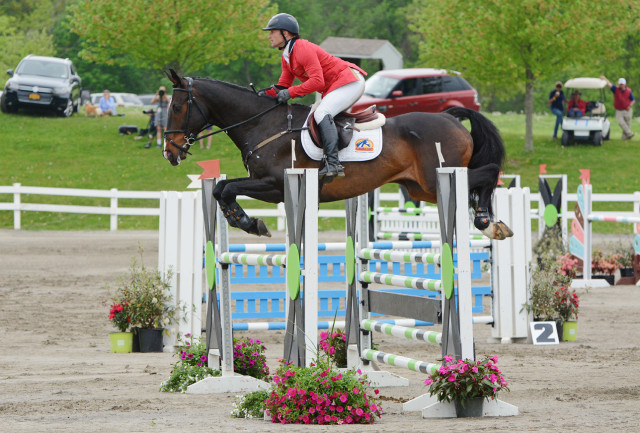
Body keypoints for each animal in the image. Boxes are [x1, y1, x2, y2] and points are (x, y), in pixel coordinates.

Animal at [162, 69, 512, 241]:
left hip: (438, 175)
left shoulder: (273, 185)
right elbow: (221, 188)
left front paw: (247, 222)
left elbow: (227, 188)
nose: (169, 152)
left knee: (489, 172)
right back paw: (491, 223)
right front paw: (244, 220)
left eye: (177, 106)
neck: (261, 123)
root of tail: (451, 118)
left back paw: (486, 221)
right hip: (422, 188)